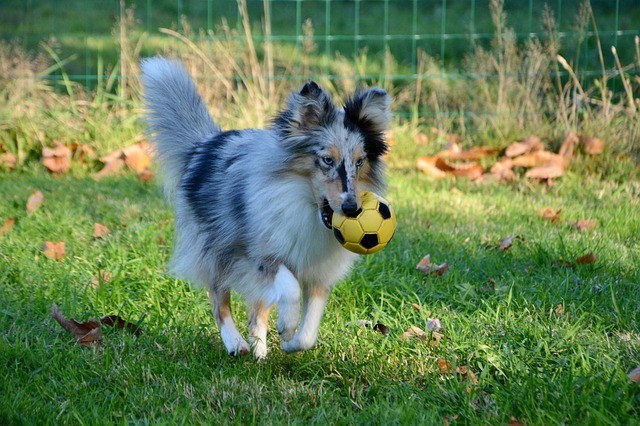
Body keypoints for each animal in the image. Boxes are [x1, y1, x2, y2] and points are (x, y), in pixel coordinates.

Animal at [140, 55, 390, 358]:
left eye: (359, 161)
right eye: (327, 160)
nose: (353, 209)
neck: (304, 206)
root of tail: (205, 144)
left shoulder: (320, 273)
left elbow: (308, 332)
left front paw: (290, 341)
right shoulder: (258, 254)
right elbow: (289, 286)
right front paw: (287, 324)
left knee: (256, 311)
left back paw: (260, 351)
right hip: (217, 251)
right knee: (220, 300)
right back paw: (236, 344)